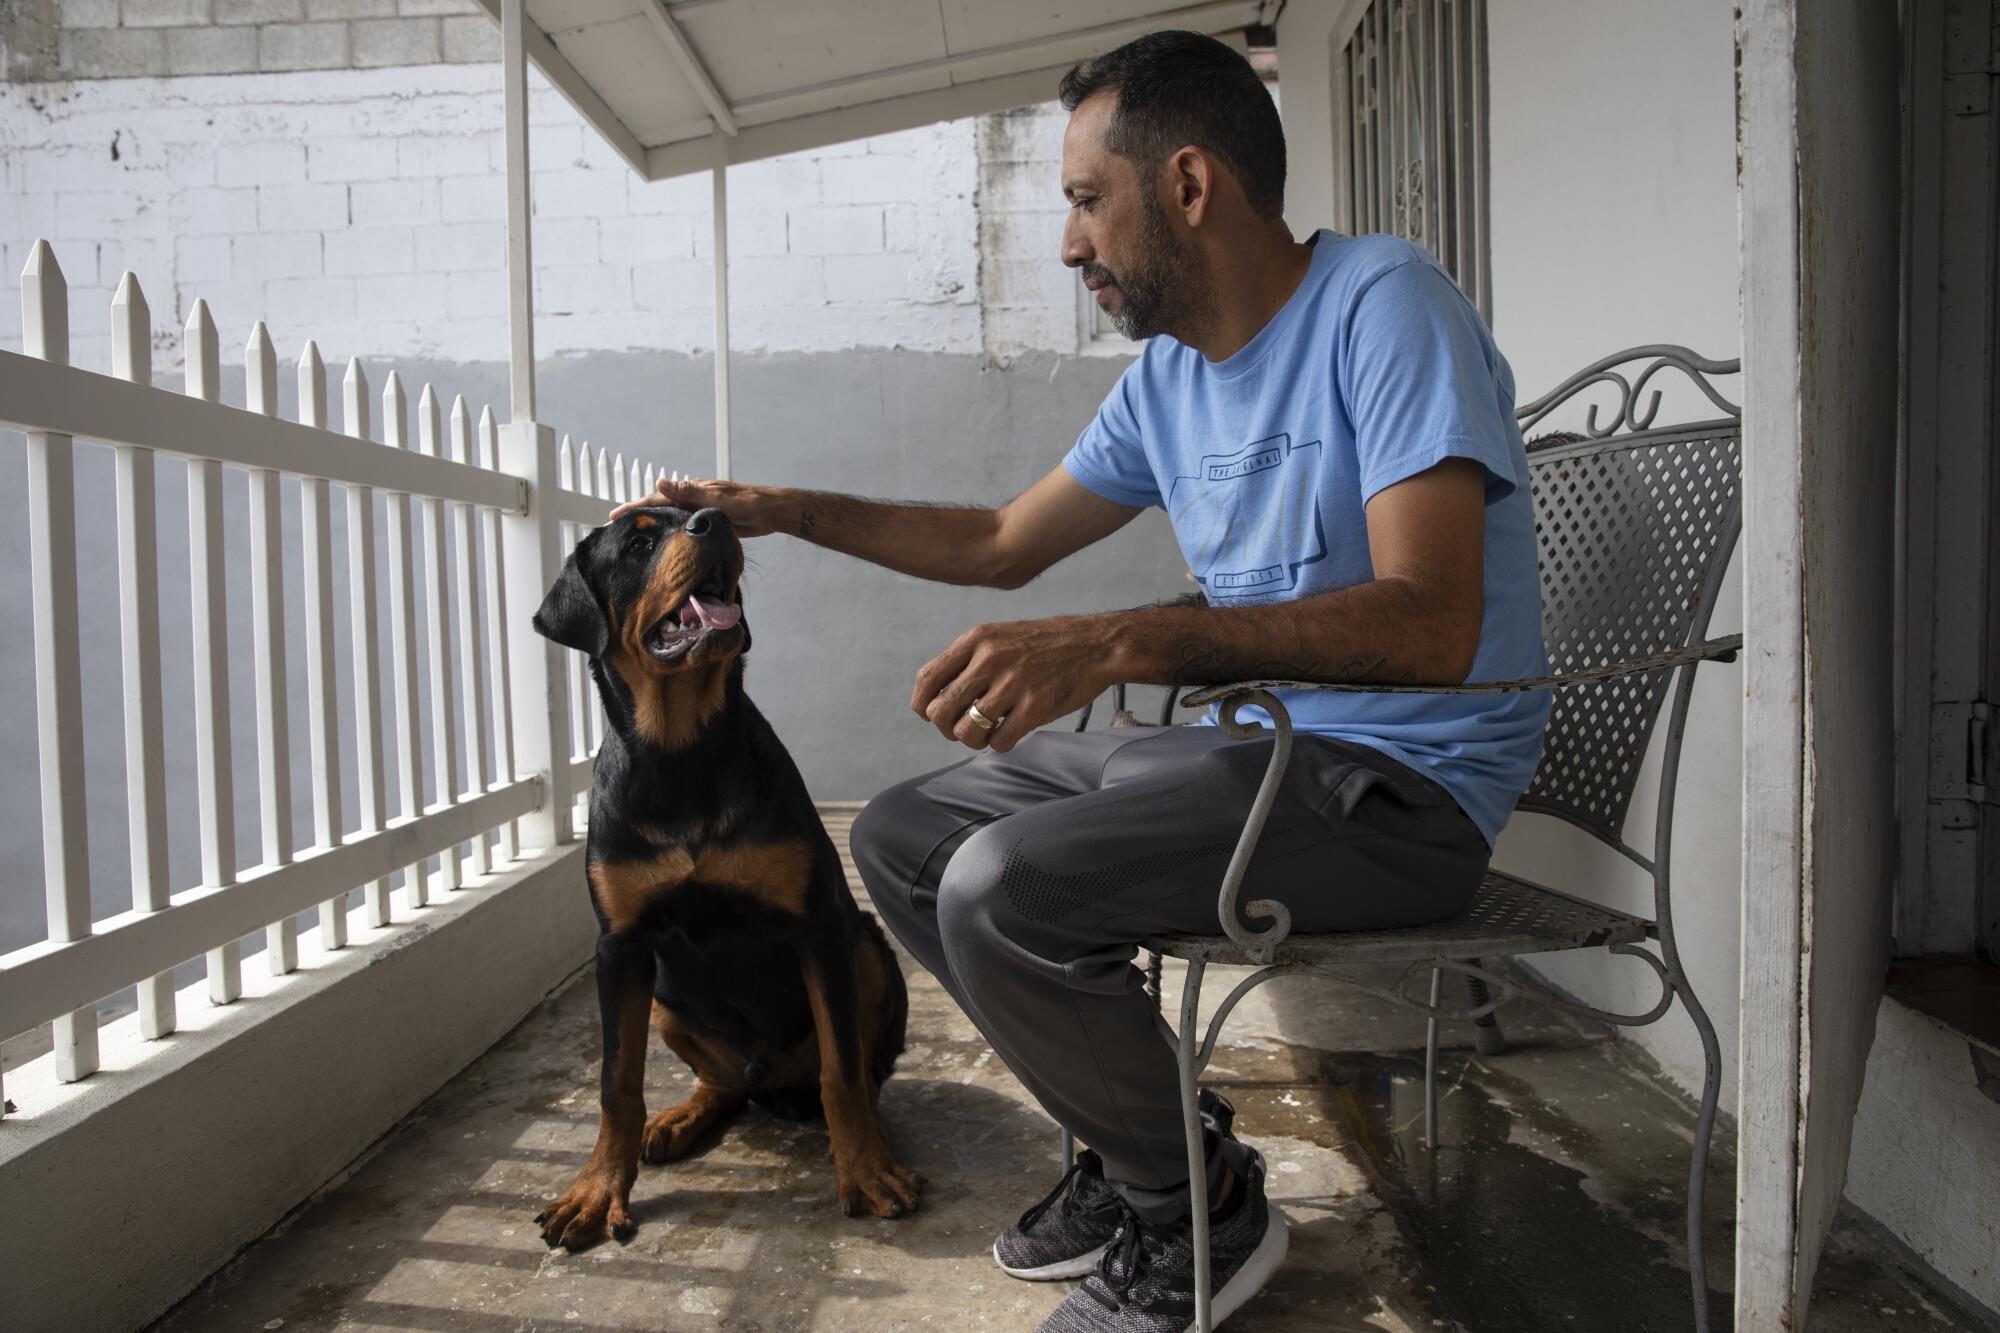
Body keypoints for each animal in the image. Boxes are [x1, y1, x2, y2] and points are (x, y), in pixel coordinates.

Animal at [524, 500, 916, 1248]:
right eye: (639, 542)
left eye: (696, 513)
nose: (715, 520)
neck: (681, 752)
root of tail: (772, 1079)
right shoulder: (620, 946)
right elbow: (617, 1082)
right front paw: (595, 1189)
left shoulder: (819, 923)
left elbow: (842, 1068)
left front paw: (865, 1169)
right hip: (665, 998)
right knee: (724, 1084)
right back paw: (682, 1116)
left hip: (867, 949)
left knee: (860, 1066)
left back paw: (876, 1136)